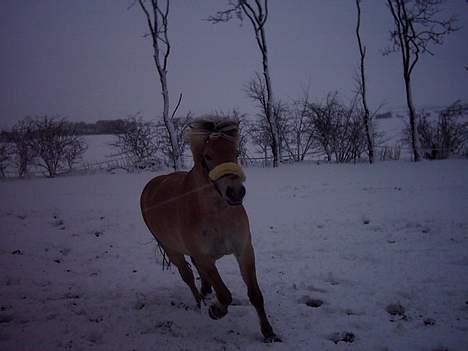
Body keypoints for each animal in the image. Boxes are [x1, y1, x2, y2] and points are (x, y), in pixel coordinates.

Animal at [137, 117, 280, 342]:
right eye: (208, 156)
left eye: (236, 153)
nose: (235, 192)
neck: (218, 215)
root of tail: (151, 186)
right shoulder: (204, 256)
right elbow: (224, 294)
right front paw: (216, 310)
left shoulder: (244, 251)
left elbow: (255, 295)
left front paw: (268, 332)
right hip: (172, 250)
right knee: (187, 275)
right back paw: (200, 304)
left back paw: (205, 292)